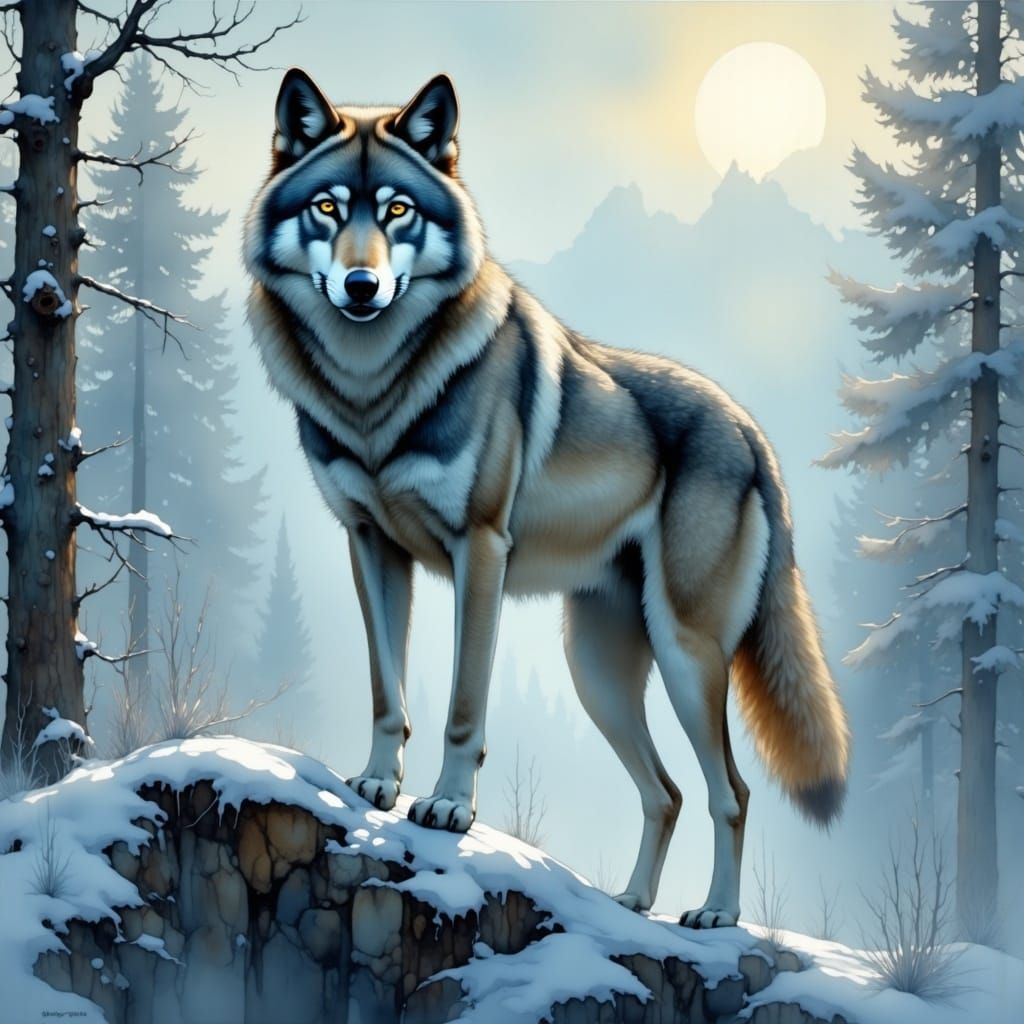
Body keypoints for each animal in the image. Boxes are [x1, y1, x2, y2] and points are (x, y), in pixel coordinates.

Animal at [243, 69, 850, 928]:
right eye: (328, 208)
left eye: (396, 210)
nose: (362, 285)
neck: (373, 392)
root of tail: (751, 430)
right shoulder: (370, 544)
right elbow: (387, 689)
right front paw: (377, 785)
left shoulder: (480, 551)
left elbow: (464, 706)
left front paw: (448, 809)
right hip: (596, 672)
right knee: (665, 792)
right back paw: (631, 901)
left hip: (686, 658)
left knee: (729, 791)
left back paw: (717, 916)